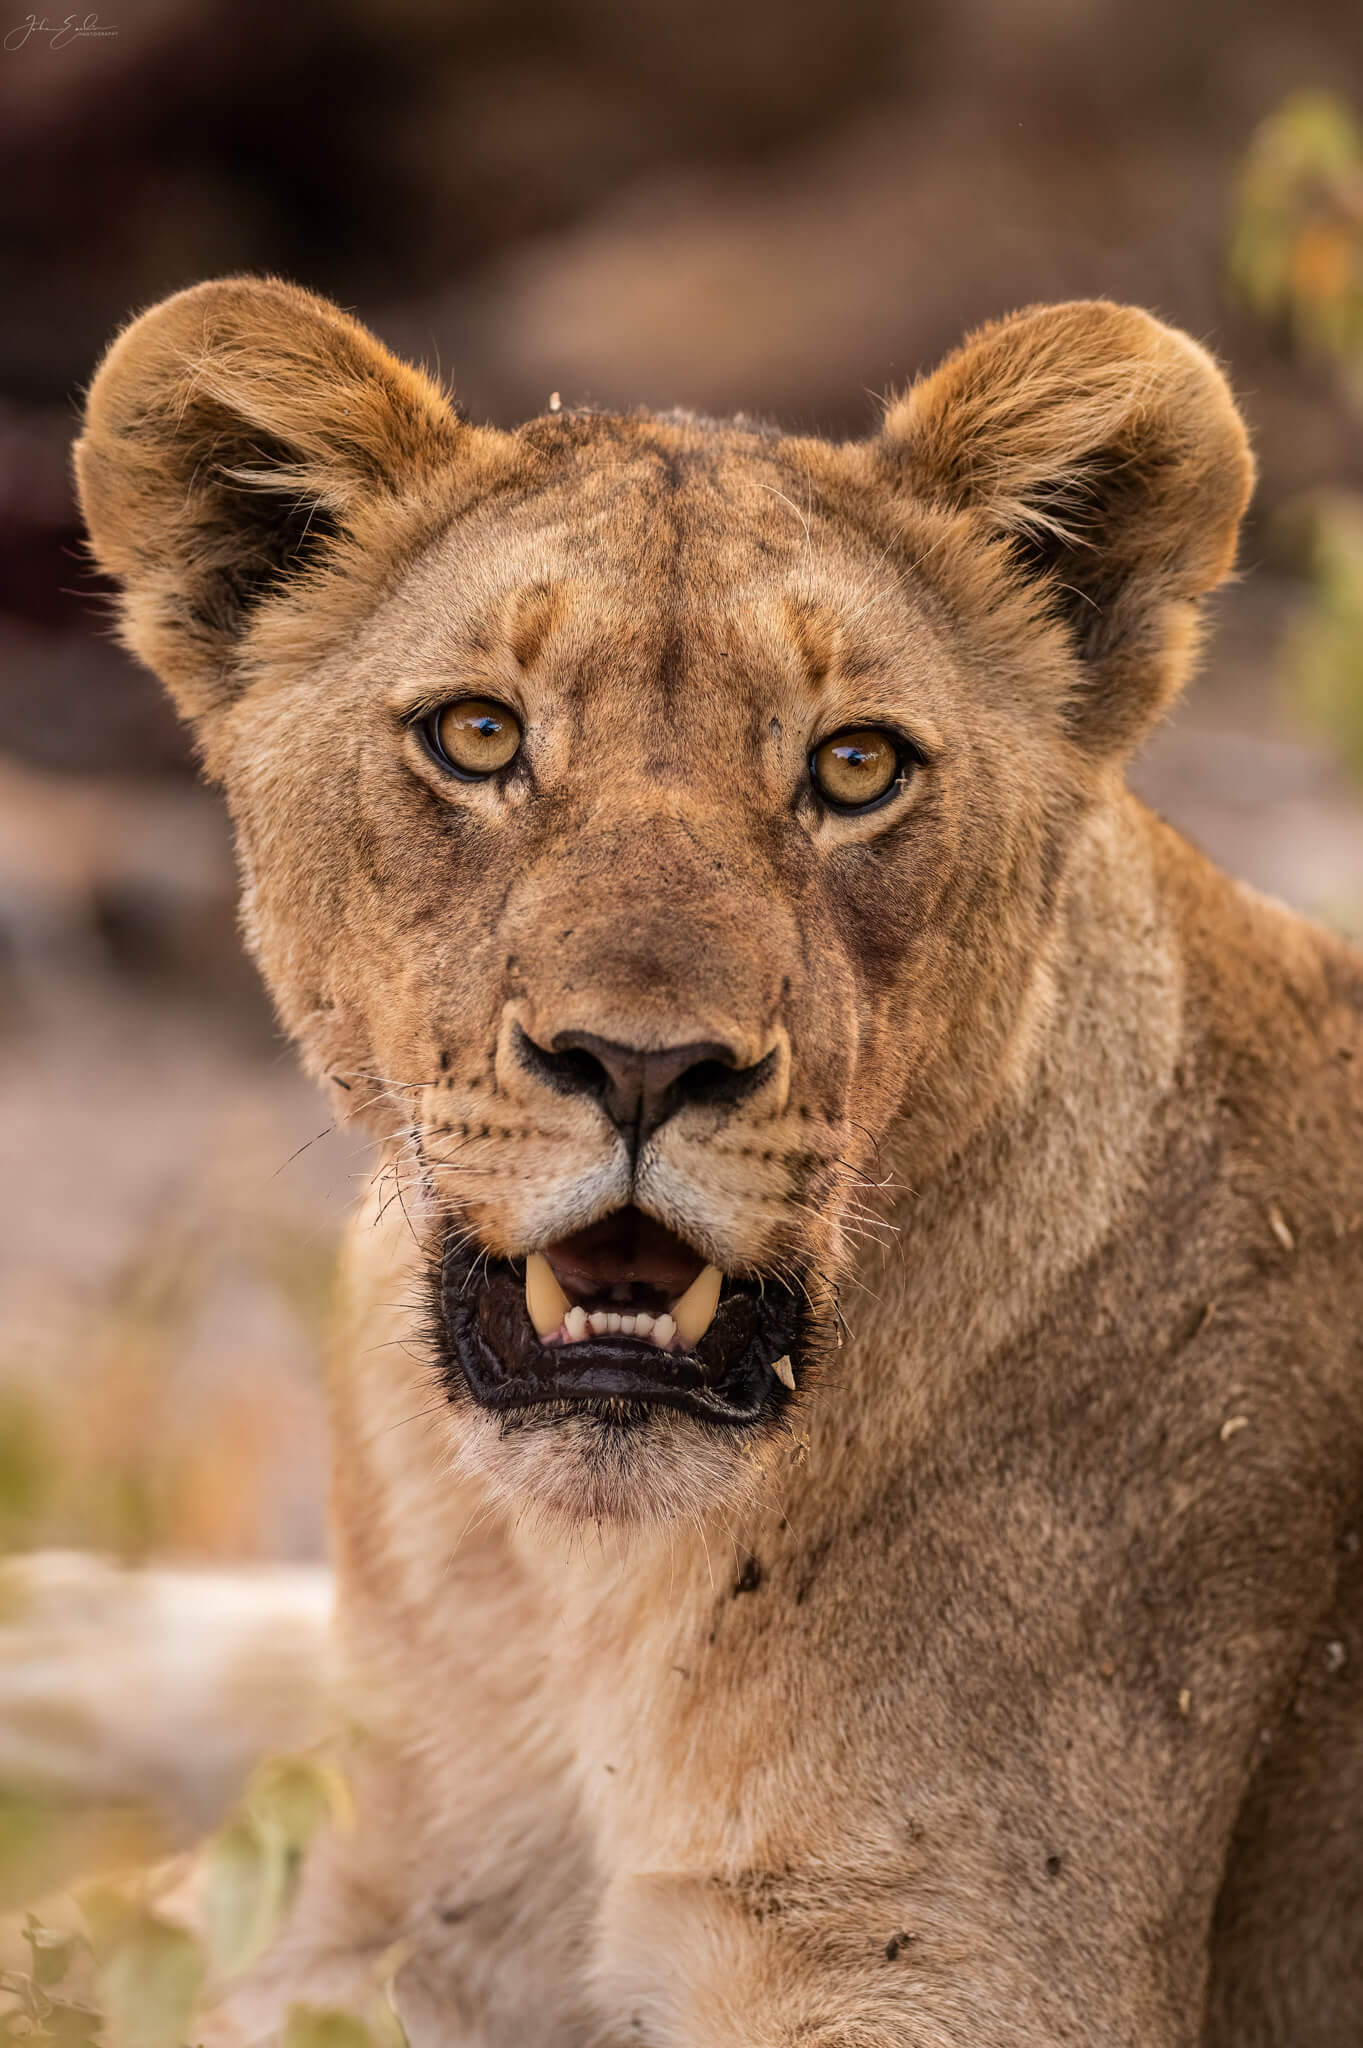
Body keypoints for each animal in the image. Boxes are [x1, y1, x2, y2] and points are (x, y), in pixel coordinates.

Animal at [73, 278, 1363, 2047]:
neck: (579, 1589)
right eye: (477, 734)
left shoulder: (957, 1964)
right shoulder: (360, 1892)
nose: (638, 1064)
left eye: (853, 766)